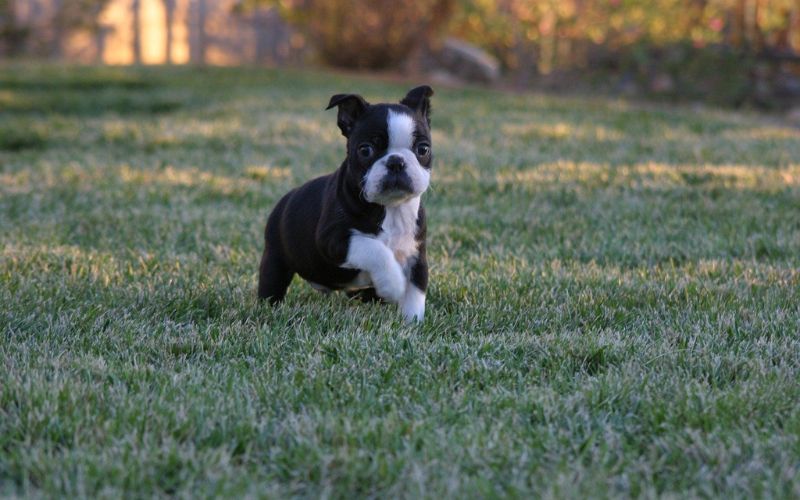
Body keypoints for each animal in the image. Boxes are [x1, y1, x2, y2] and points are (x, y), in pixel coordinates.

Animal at [256, 85, 434, 320]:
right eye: (365, 150)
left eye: (423, 149)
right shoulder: (333, 239)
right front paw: (393, 284)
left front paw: (412, 322)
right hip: (275, 258)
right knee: (271, 285)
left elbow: (416, 291)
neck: (390, 208)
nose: (396, 162)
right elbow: (375, 249)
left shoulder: (415, 255)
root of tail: (285, 199)